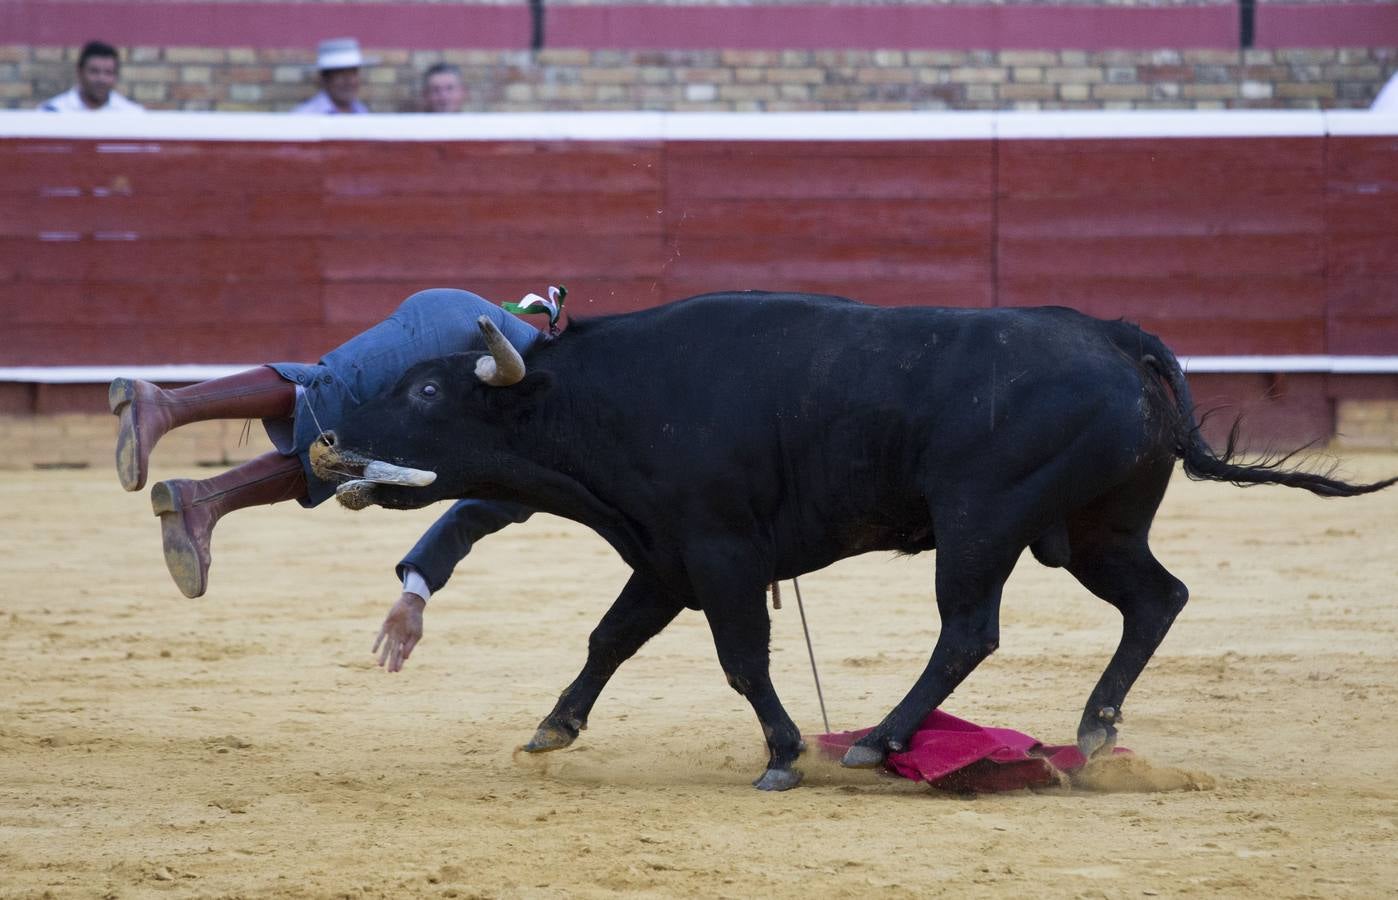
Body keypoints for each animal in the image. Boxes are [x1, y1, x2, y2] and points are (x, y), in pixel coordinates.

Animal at [317, 292, 1398, 793]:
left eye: (425, 388)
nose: (328, 440)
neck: (603, 402)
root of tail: (1118, 338)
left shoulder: (721, 555)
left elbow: (742, 660)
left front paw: (785, 752)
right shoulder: (664, 558)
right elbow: (610, 639)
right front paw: (553, 727)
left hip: (982, 520)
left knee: (969, 631)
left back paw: (880, 739)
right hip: (1092, 529)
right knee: (1156, 599)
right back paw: (1092, 734)